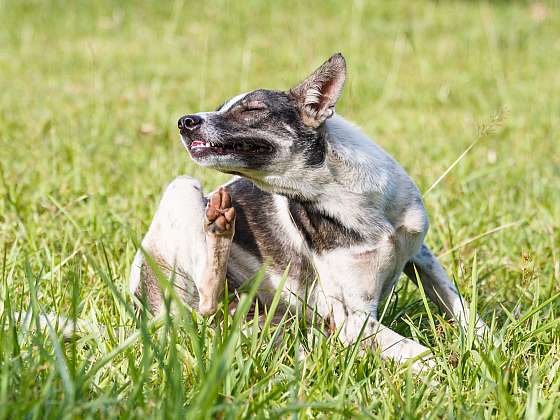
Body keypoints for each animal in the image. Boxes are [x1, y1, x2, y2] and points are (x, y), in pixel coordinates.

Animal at [130, 52, 486, 370]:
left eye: (253, 109)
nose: (184, 121)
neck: (342, 193)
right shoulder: (352, 319)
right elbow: (421, 354)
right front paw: (453, 369)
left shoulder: (420, 255)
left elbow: (463, 309)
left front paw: (486, 347)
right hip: (181, 188)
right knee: (207, 300)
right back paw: (218, 224)